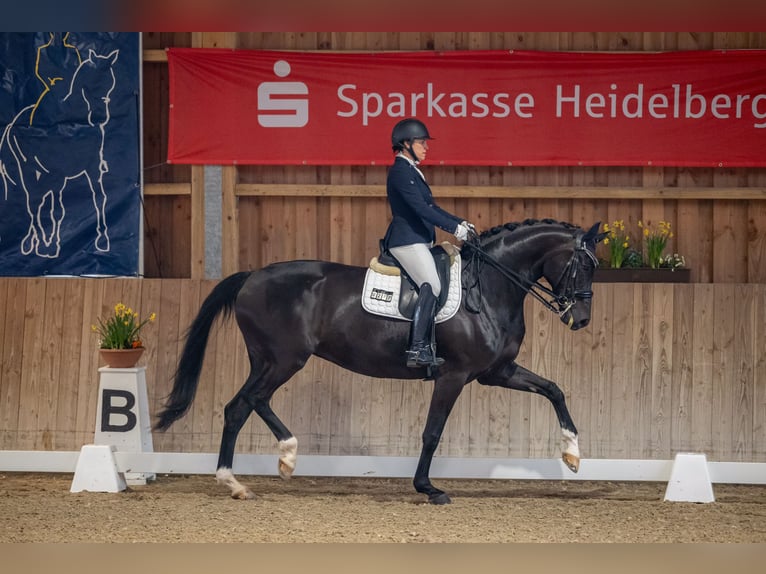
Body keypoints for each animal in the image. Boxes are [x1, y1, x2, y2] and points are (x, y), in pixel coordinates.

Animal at [156, 219, 608, 504]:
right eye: (583, 265)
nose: (582, 319)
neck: (490, 286)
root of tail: (251, 275)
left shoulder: (496, 373)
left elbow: (554, 389)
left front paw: (572, 454)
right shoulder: (454, 375)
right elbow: (432, 433)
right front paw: (428, 488)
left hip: (268, 360)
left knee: (240, 407)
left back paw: (240, 480)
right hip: (284, 359)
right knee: (250, 402)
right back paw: (278, 460)